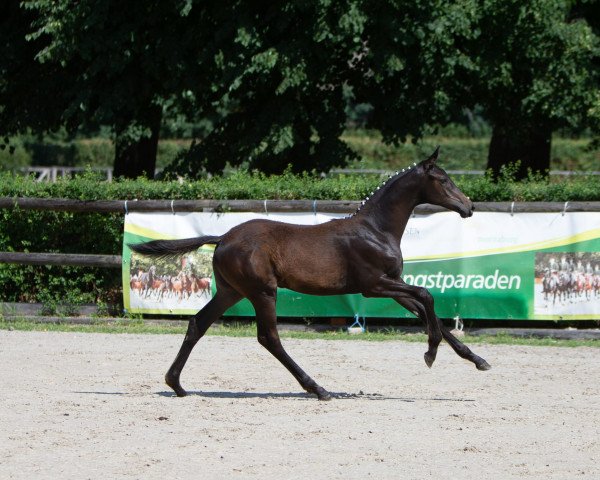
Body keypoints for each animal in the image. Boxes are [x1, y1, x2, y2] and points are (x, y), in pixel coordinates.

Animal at [130, 148, 488, 400]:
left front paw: (477, 359)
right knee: (269, 337)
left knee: (198, 324)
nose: (469, 207)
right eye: (443, 180)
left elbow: (428, 311)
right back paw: (318, 389)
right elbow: (427, 296)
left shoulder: (393, 284)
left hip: (231, 291)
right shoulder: (374, 285)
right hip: (263, 291)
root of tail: (223, 238)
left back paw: (176, 384)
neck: (376, 229)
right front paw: (430, 353)